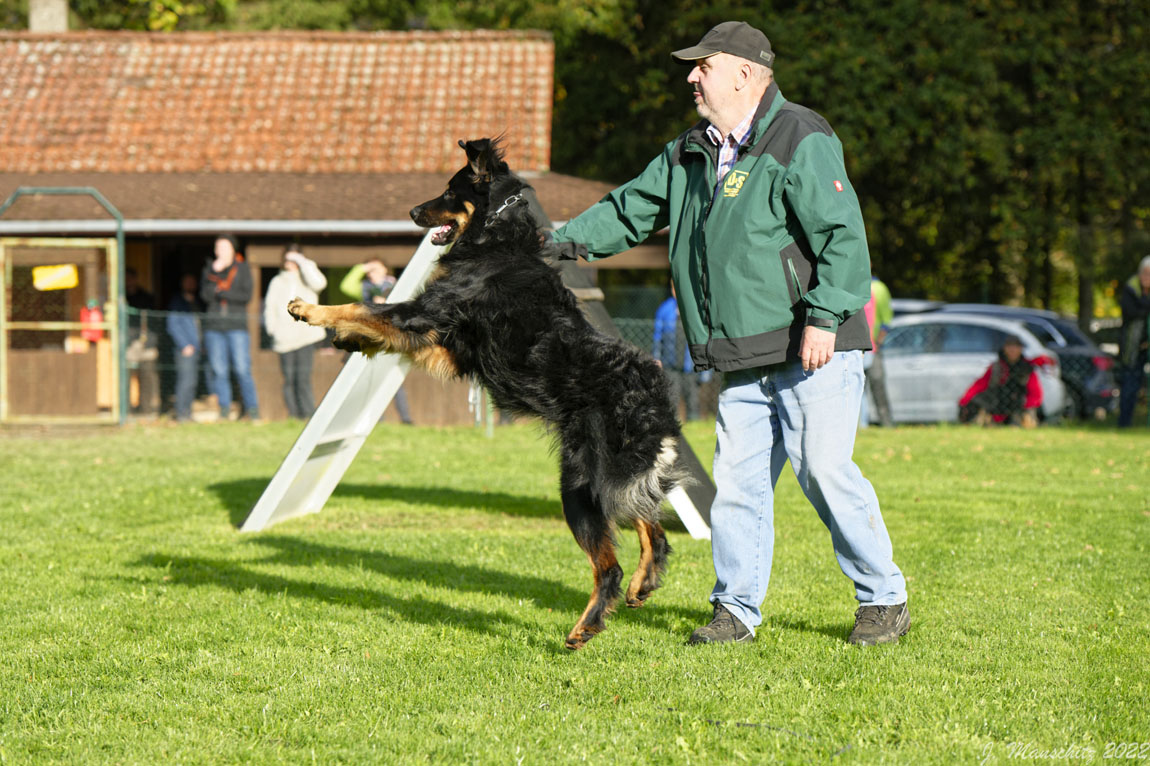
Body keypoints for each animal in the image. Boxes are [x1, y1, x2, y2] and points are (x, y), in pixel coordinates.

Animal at [287, 140, 680, 648]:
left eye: (449, 190)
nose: (412, 211)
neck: (496, 237)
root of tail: (656, 398)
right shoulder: (451, 346)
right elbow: (385, 331)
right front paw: (352, 340)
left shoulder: (427, 311)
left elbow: (364, 306)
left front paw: (310, 310)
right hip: (617, 478)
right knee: (655, 528)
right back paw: (642, 583)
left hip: (585, 485)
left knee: (608, 565)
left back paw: (586, 626)